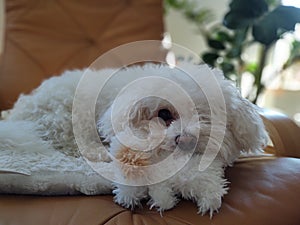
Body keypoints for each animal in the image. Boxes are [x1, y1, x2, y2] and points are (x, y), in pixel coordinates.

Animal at [0, 62, 268, 217]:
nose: (184, 140)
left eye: (206, 117)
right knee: (72, 143)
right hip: (73, 114)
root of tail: (19, 112)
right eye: (164, 114)